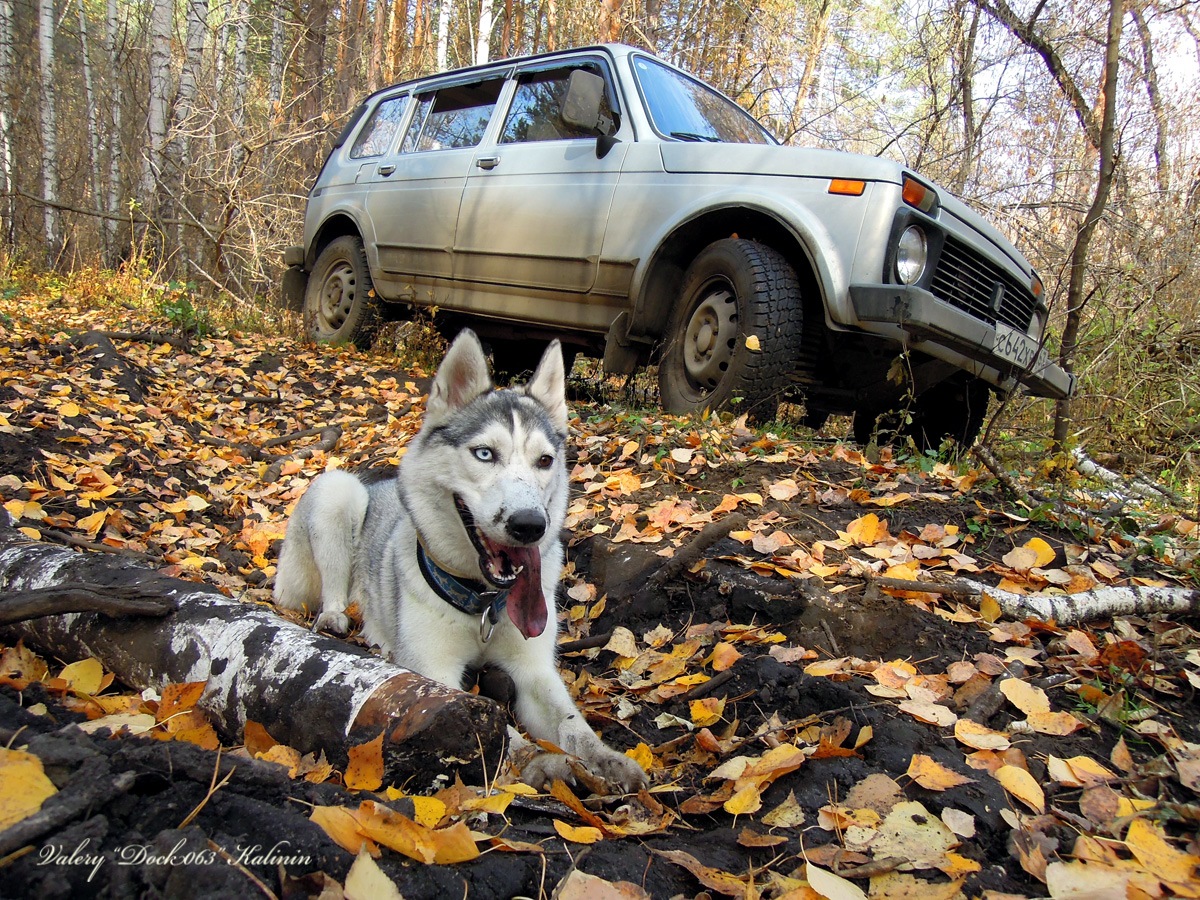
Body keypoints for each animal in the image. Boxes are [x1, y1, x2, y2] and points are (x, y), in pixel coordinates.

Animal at [274, 333, 648, 796]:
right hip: (337, 492)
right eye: (484, 453)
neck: (482, 602)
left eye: (544, 461)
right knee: (333, 588)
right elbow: (493, 729)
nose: (530, 525)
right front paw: (539, 760)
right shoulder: (435, 672)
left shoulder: (534, 668)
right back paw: (337, 618)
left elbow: (572, 725)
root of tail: (375, 483)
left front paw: (609, 761)